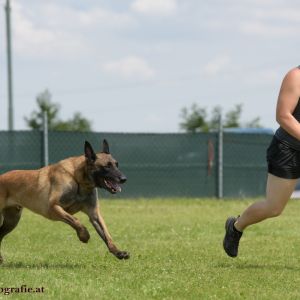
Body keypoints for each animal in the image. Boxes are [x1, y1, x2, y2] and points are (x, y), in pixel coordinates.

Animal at [0, 139, 128, 262]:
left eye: (117, 165)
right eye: (107, 166)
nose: (124, 179)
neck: (78, 179)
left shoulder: (94, 214)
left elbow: (107, 235)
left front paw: (118, 252)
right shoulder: (53, 208)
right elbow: (75, 220)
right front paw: (84, 235)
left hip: (12, 221)